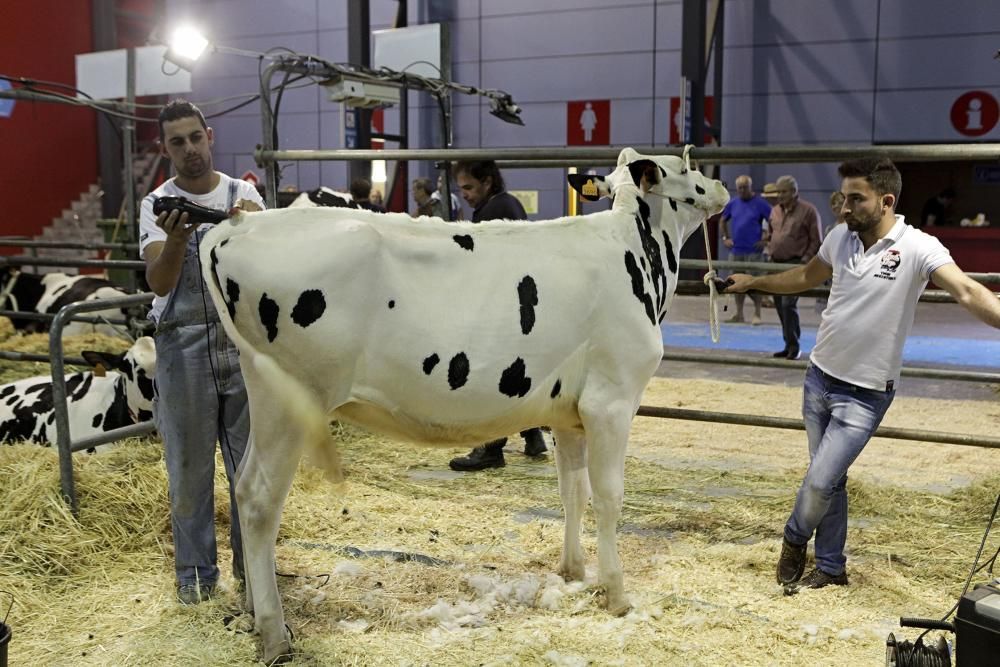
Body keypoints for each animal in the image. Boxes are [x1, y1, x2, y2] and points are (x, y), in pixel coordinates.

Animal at [199, 149, 732, 664]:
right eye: (686, 165)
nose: (722, 185)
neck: (632, 250)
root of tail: (237, 226)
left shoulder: (571, 414)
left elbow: (572, 493)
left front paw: (574, 571)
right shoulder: (612, 402)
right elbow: (608, 497)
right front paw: (617, 594)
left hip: (264, 395)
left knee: (240, 483)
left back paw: (251, 615)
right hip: (292, 399)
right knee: (260, 499)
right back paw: (274, 635)